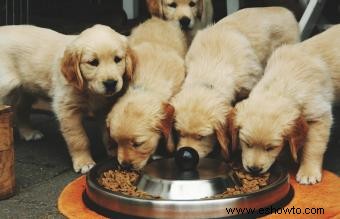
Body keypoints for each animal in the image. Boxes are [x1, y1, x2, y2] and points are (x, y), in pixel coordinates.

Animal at [0, 24, 134, 174]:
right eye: (93, 62)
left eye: (117, 59)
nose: (110, 83)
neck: (88, 89)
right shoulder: (67, 110)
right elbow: (79, 139)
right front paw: (84, 162)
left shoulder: (105, 107)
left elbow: (108, 133)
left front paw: (114, 151)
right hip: (6, 87)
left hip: (27, 90)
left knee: (21, 109)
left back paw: (28, 133)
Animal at [232, 24, 340, 184]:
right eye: (246, 143)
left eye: (271, 148)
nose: (254, 169)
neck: (282, 83)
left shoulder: (320, 116)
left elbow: (313, 147)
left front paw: (308, 172)